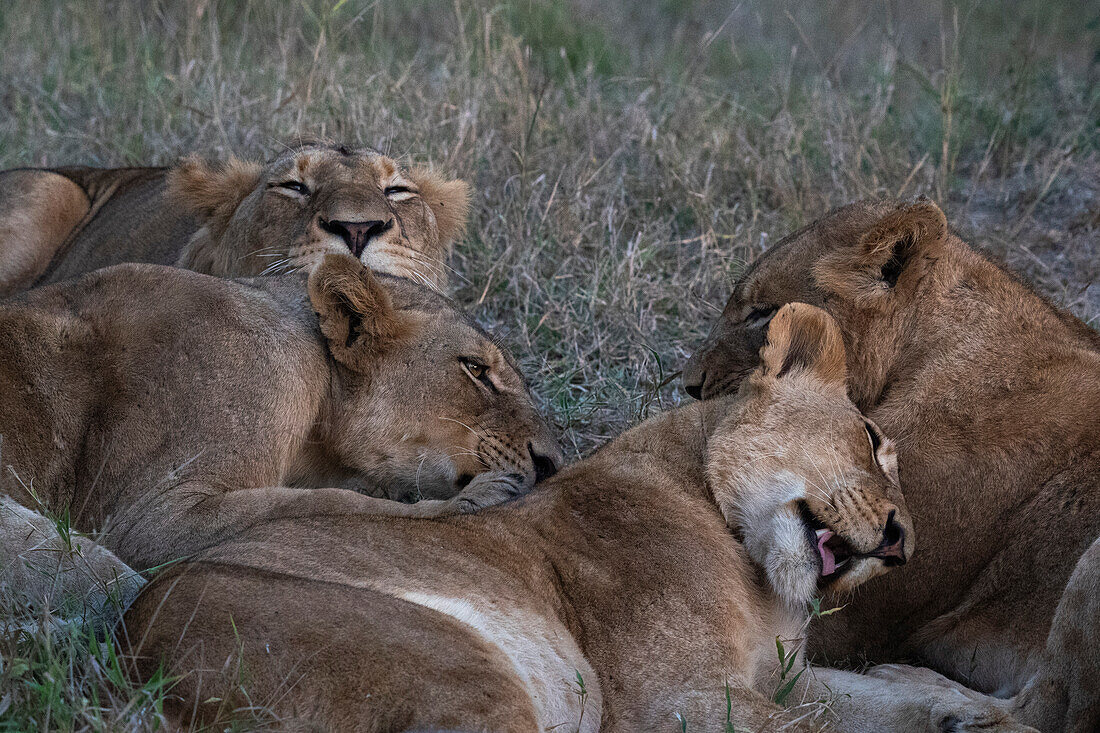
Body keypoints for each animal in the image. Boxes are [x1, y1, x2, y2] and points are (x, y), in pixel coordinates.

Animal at [120, 301, 1029, 730]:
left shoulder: (782, 676)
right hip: (460, 672)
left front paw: (970, 712)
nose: (904, 543)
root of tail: (134, 641)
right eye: (872, 439)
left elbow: (869, 701)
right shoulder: (681, 702)